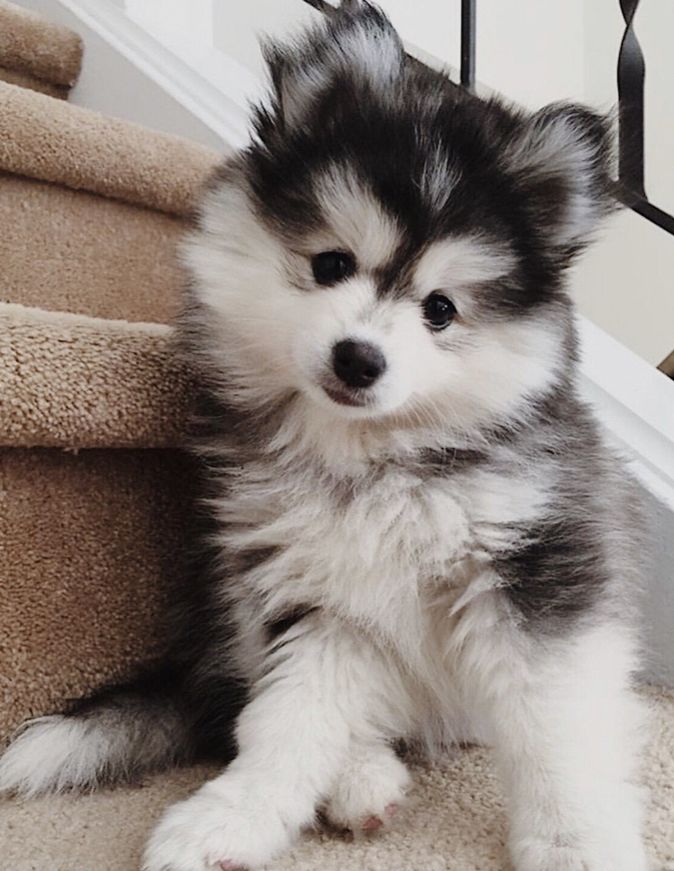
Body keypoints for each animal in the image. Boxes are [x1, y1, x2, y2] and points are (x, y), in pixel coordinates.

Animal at [1, 1, 652, 871]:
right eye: (332, 263)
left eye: (440, 309)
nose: (359, 357)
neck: (377, 461)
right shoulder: (316, 591)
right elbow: (288, 717)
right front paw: (231, 818)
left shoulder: (537, 563)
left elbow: (554, 726)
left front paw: (575, 838)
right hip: (236, 591)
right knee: (249, 701)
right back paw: (360, 776)